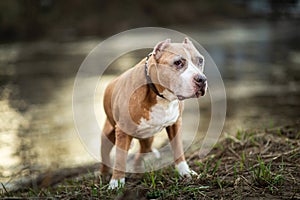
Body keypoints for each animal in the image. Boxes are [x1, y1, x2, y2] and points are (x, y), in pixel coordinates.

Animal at [100, 37, 206, 189]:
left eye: (200, 60)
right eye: (178, 62)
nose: (201, 79)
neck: (160, 95)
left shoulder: (175, 124)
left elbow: (178, 149)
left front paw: (184, 171)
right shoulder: (122, 132)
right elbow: (120, 158)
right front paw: (116, 182)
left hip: (147, 140)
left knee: (140, 153)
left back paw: (138, 171)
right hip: (108, 135)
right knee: (105, 155)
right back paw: (104, 174)